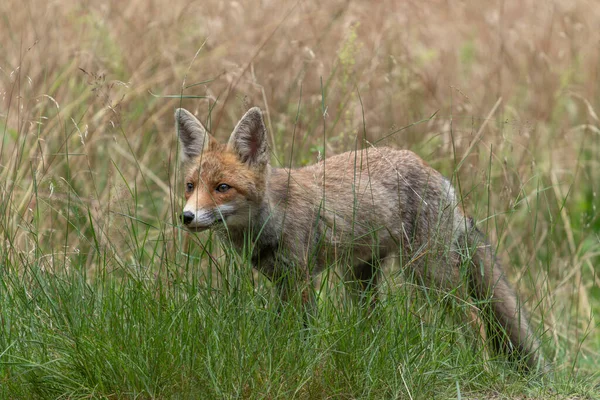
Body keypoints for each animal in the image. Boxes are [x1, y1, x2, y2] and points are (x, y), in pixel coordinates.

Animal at [175, 106, 544, 372]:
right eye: (191, 186)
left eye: (222, 188)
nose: (186, 217)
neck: (271, 216)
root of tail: (437, 174)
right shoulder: (280, 281)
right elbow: (280, 332)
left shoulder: (301, 278)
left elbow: (303, 334)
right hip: (360, 281)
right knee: (377, 325)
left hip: (427, 273)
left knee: (475, 321)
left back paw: (481, 368)